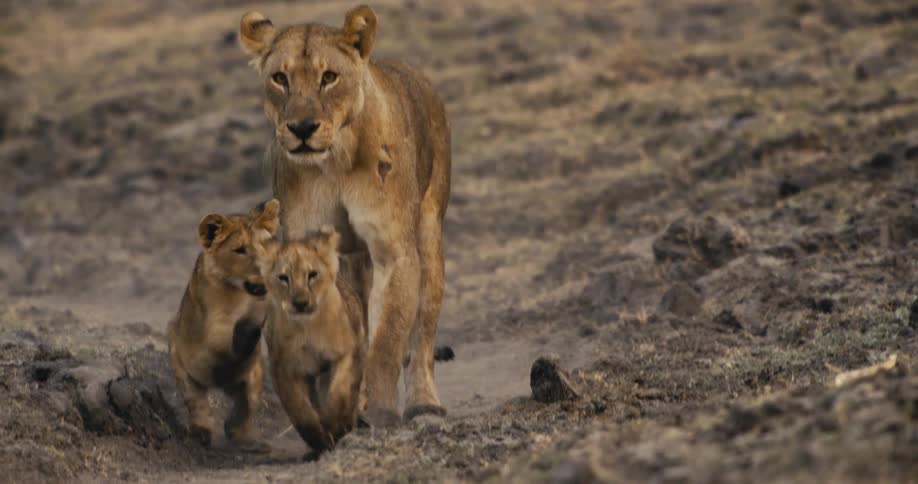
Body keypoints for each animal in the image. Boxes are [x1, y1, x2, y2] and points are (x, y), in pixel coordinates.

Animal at [167, 199, 280, 447]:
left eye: (266, 245)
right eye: (240, 250)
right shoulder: (212, 327)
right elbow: (229, 336)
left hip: (252, 379)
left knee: (243, 408)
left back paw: (245, 438)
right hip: (183, 365)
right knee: (197, 403)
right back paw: (201, 431)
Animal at [239, 5, 451, 425]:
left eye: (329, 77)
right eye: (280, 78)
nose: (303, 128)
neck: (335, 160)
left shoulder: (393, 251)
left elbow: (387, 340)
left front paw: (381, 409)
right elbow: (354, 332)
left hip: (429, 234)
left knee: (422, 332)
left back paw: (424, 402)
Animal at [253, 226, 366, 459]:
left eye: (312, 275)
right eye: (283, 278)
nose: (300, 303)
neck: (307, 327)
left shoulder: (347, 354)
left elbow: (340, 393)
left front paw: (338, 428)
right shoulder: (284, 369)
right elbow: (300, 411)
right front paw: (319, 441)